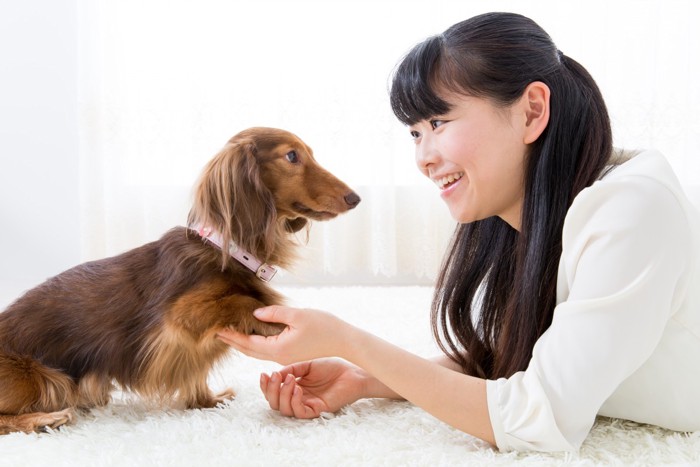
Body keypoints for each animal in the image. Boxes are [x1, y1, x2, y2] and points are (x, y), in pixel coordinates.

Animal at [0, 127, 360, 436]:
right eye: (291, 156)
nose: (355, 198)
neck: (227, 249)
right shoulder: (179, 316)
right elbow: (242, 302)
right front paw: (276, 323)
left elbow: (196, 371)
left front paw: (206, 401)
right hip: (43, 380)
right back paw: (43, 420)